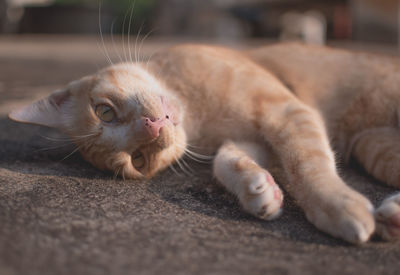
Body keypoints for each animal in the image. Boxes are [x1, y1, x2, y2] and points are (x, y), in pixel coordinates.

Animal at [7, 42, 400, 244]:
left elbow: (307, 164)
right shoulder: (253, 137)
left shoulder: (287, 111)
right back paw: (392, 216)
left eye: (104, 112)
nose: (152, 129)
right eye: (139, 159)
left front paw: (336, 206)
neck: (200, 115)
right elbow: (225, 162)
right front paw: (260, 191)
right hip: (374, 147)